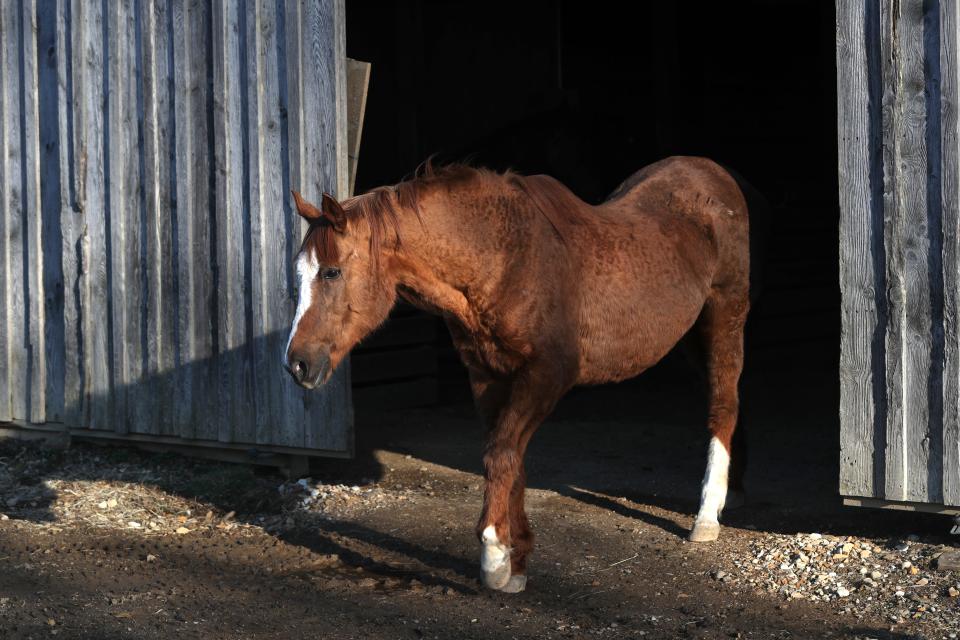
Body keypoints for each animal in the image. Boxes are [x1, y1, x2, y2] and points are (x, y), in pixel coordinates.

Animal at [284, 158, 756, 592]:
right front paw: (517, 562)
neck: (505, 263)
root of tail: (715, 174)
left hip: (725, 317)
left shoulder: (547, 375)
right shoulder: (488, 377)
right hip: (691, 337)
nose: (297, 364)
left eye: (332, 271)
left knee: (723, 406)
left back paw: (706, 517)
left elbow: (501, 454)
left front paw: (494, 557)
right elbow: (511, 459)